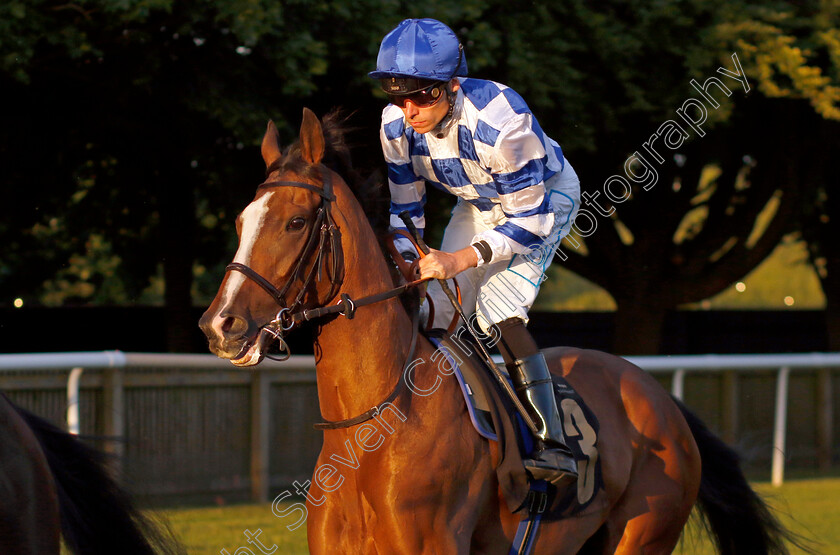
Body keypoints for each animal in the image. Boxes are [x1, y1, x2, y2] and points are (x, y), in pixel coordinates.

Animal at [200, 106, 796, 552]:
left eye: (296, 221)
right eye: (241, 221)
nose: (220, 324)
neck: (374, 424)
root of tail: (658, 397)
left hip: (643, 538)